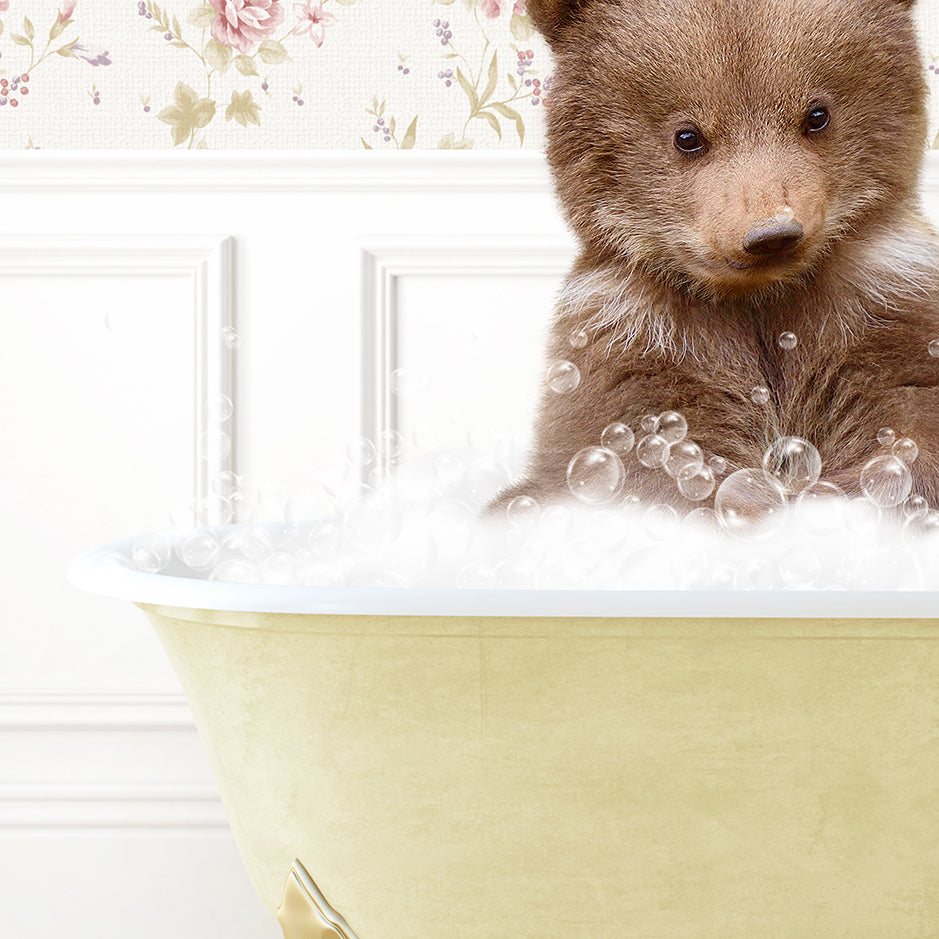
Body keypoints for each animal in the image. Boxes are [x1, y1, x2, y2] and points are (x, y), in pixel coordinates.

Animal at [492, 0, 939, 516]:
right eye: (688, 136)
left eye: (817, 114)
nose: (771, 234)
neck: (759, 299)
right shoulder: (639, 341)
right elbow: (655, 456)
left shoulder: (881, 304)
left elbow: (905, 414)